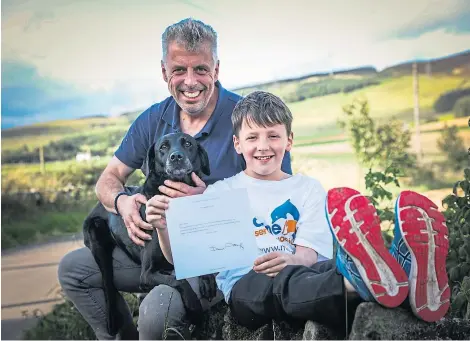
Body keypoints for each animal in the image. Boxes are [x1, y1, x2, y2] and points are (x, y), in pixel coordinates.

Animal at [83, 131, 216, 336]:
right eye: (163, 147)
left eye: (187, 144)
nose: (176, 157)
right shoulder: (147, 274)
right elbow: (178, 281)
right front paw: (194, 309)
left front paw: (207, 279)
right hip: (96, 236)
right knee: (107, 281)